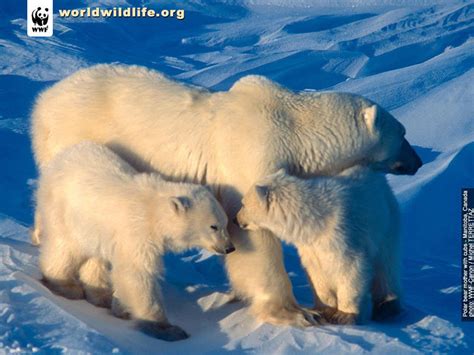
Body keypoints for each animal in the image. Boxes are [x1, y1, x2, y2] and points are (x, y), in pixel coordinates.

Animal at [38, 142, 234, 342]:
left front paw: (121, 307)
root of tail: (62, 157)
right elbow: (137, 273)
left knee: (95, 257)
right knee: (65, 248)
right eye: (213, 226)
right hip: (65, 211)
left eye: (226, 223)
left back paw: (100, 294)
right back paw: (65, 285)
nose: (229, 248)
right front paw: (167, 329)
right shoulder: (137, 231)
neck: (154, 211)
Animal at [236, 168, 400, 326]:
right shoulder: (311, 247)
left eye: (243, 203)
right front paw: (325, 310)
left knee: (386, 266)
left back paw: (388, 305)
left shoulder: (341, 235)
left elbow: (352, 269)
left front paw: (345, 315)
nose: (235, 219)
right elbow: (317, 273)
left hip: (386, 223)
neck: (316, 221)